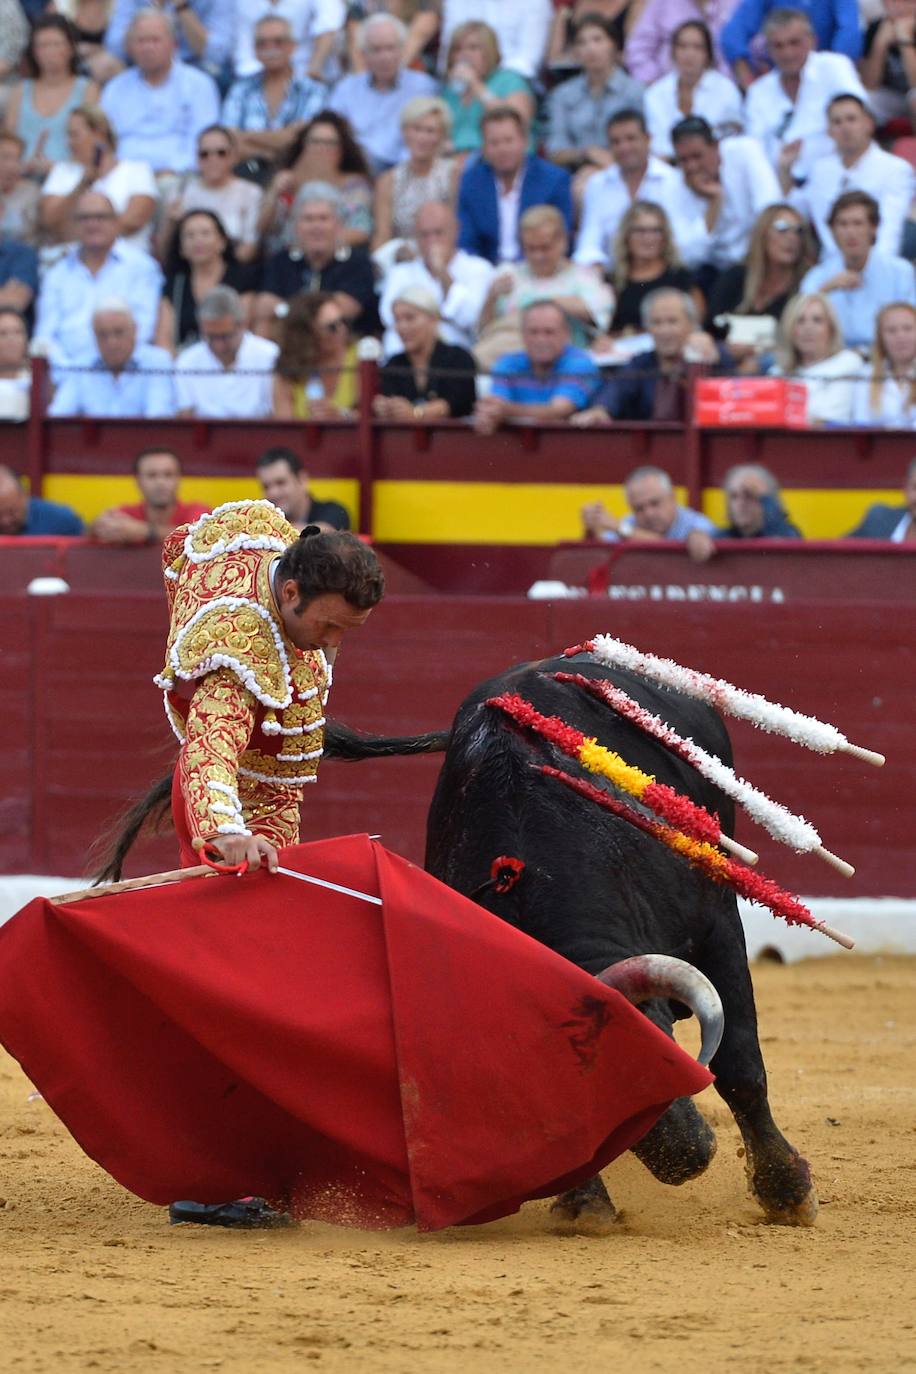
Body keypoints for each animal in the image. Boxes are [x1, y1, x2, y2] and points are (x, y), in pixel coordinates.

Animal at [329, 648, 818, 1231]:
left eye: (654, 1048)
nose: (687, 1159)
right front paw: (585, 1204)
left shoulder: (716, 925)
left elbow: (739, 1064)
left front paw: (787, 1192)